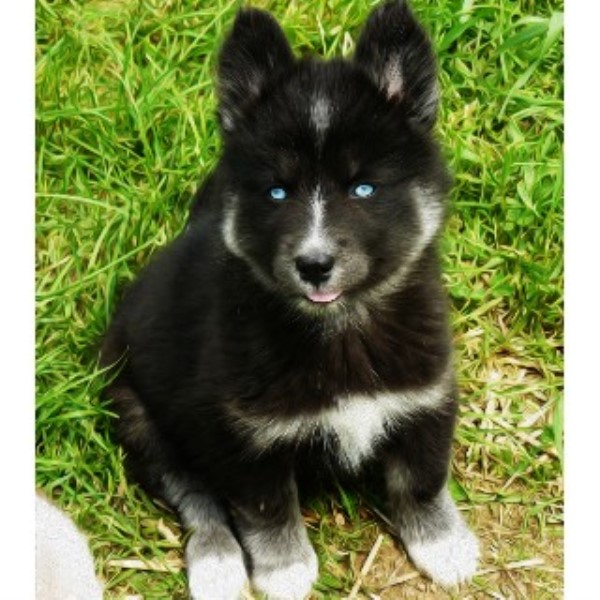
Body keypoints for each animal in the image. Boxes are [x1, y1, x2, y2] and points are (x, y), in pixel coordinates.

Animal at [102, 2, 478, 596]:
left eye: (363, 188)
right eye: (277, 192)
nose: (314, 264)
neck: (340, 329)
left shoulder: (426, 397)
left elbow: (421, 479)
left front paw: (442, 546)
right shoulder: (244, 437)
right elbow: (268, 509)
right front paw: (286, 570)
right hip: (136, 411)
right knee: (194, 494)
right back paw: (217, 563)